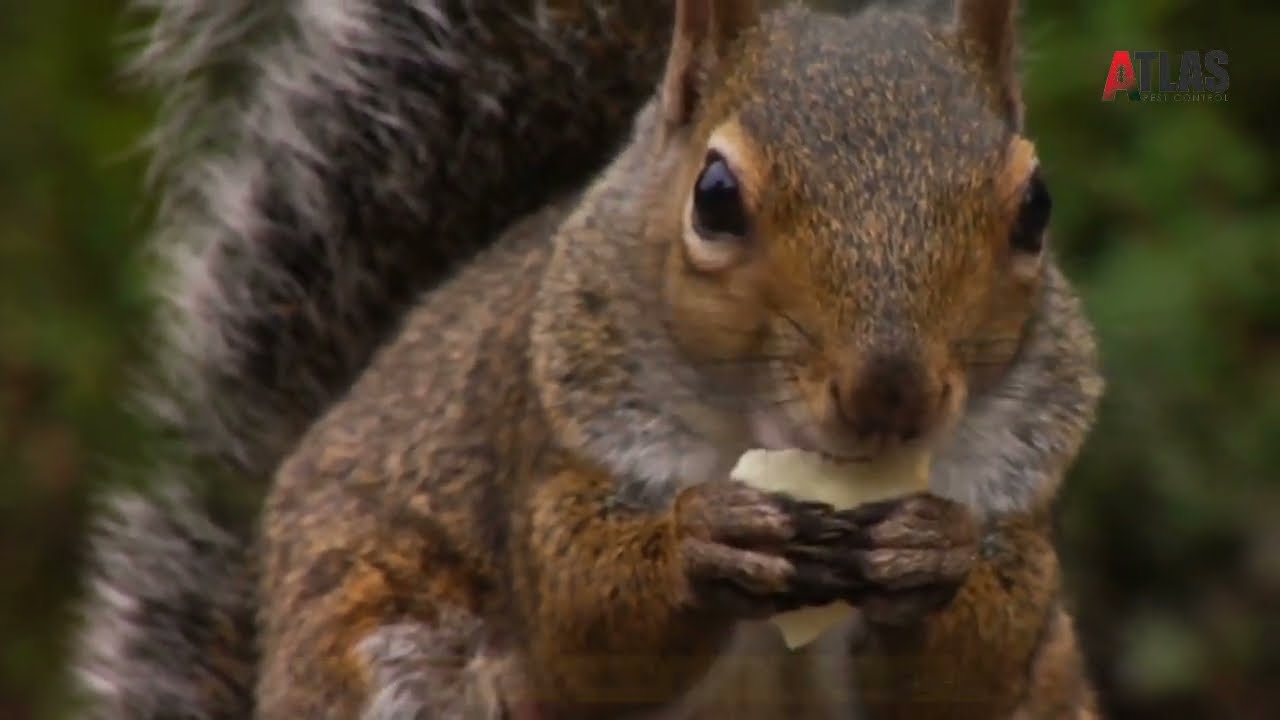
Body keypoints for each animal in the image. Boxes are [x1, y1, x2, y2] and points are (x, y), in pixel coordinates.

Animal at [74, 0, 1107, 719]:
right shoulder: (552, 441)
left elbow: (975, 668)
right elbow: (583, 625)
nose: (890, 394)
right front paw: (705, 540)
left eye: (1037, 207)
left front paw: (932, 550)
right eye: (715, 197)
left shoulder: (1019, 498)